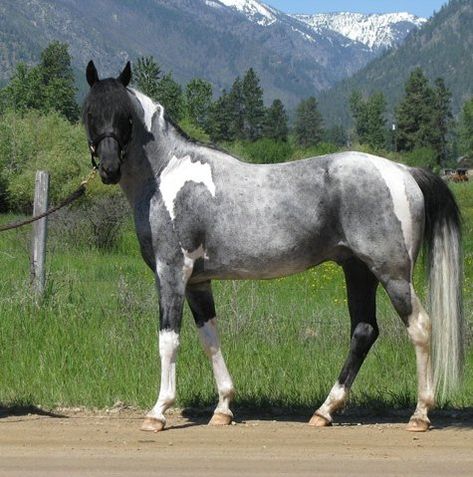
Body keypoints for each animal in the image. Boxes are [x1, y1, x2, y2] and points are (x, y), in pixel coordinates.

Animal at [83, 61, 462, 434]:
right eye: (89, 112)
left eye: (125, 115)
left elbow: (168, 339)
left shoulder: (172, 272)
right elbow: (210, 338)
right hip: (358, 270)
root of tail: (402, 170)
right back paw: (324, 411)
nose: (109, 168)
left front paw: (158, 411)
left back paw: (420, 414)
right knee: (364, 331)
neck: (167, 174)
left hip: (392, 273)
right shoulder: (197, 282)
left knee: (420, 327)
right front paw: (223, 408)